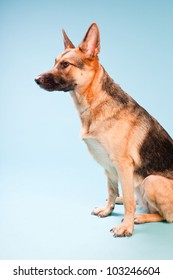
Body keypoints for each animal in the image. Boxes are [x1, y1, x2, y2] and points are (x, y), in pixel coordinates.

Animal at [34, 23, 173, 236]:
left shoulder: (123, 164)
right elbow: (112, 190)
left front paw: (127, 226)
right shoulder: (108, 166)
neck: (95, 101)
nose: (35, 79)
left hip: (152, 181)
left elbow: (130, 203)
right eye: (55, 62)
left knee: (166, 216)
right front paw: (108, 210)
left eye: (65, 64)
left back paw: (140, 217)